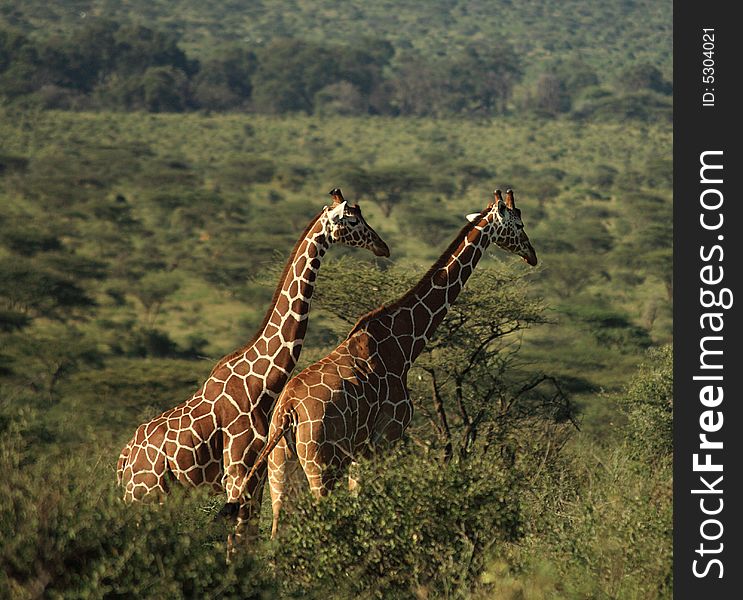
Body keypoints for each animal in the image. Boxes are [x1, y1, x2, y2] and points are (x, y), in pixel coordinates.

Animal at [116, 190, 390, 548]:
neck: (263, 384)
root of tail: (123, 462)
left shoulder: (255, 477)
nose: (383, 247)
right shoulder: (238, 473)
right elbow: (238, 542)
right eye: (354, 220)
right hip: (146, 496)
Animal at [244, 189, 540, 540]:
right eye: (519, 224)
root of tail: (287, 411)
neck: (404, 344)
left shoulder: (362, 451)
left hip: (280, 466)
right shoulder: (387, 439)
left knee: (276, 528)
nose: (532, 255)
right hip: (322, 465)